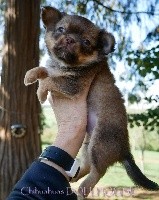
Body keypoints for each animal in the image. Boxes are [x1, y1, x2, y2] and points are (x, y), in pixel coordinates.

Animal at [24, 6, 158, 198]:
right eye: (61, 29)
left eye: (86, 42)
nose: (70, 39)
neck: (65, 65)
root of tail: (125, 150)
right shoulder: (58, 72)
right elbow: (44, 70)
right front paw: (30, 75)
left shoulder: (73, 85)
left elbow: (49, 80)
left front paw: (41, 92)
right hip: (88, 144)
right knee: (87, 166)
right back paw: (74, 176)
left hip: (98, 144)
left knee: (97, 172)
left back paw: (82, 190)